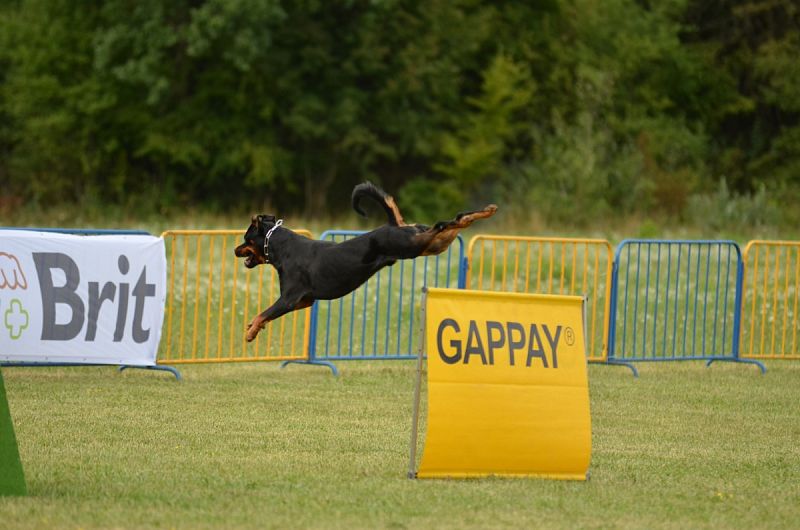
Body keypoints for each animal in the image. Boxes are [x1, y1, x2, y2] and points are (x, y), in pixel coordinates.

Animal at [233, 180, 494, 338]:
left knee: (444, 223)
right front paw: (254, 328)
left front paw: (250, 331)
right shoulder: (306, 300)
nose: (235, 250)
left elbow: (264, 312)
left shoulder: (289, 298)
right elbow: (266, 315)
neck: (281, 247)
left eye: (246, 239)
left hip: (413, 244)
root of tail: (394, 225)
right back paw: (483, 212)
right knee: (452, 224)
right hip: (429, 245)